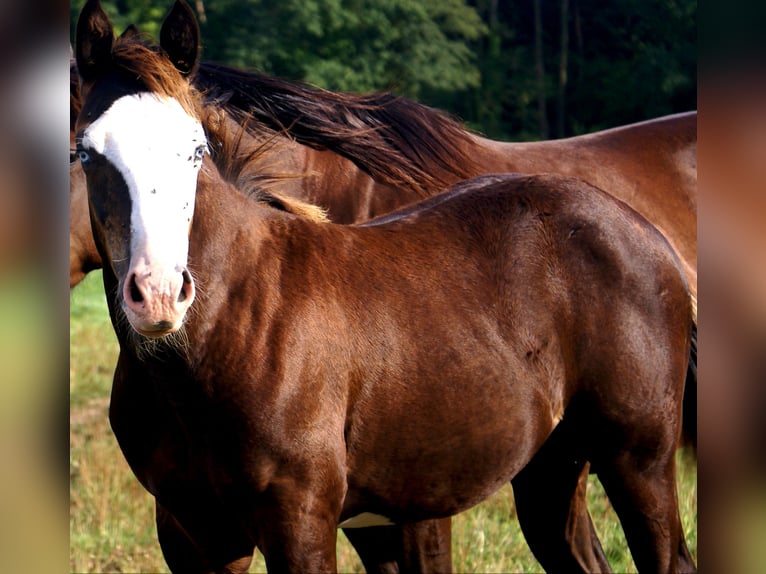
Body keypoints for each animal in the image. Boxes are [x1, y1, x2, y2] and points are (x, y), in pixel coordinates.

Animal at [74, 1, 696, 572]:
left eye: (197, 149)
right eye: (86, 152)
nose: (159, 293)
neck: (228, 330)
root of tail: (643, 232)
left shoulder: (302, 518)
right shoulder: (194, 533)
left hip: (639, 459)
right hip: (553, 469)